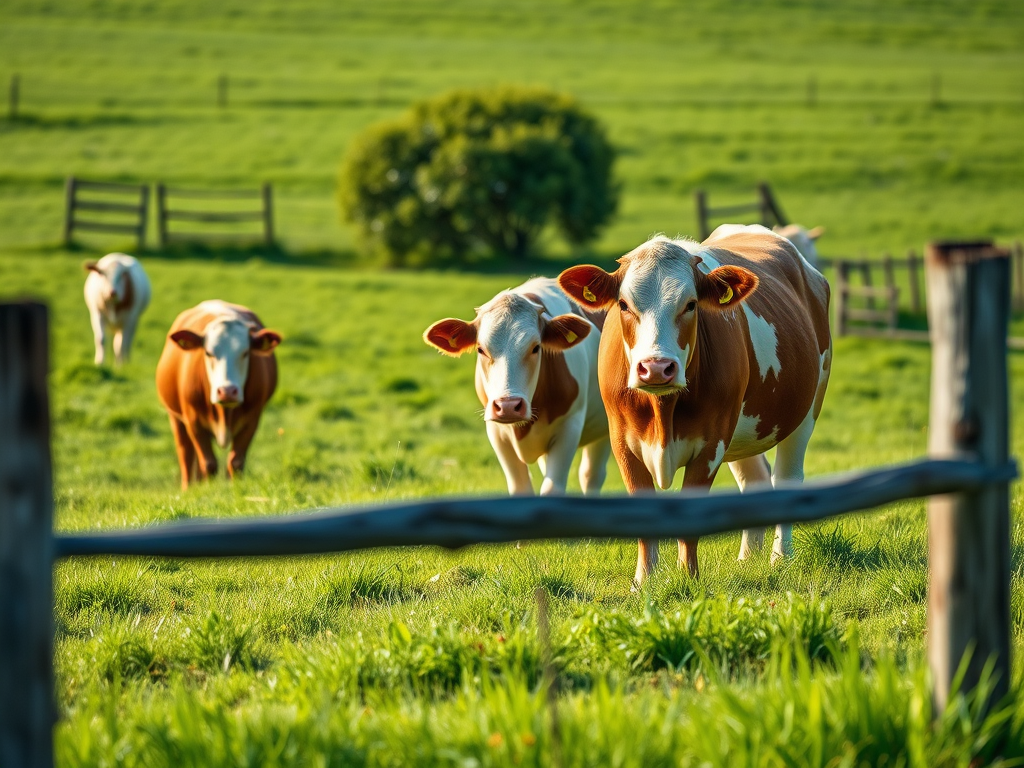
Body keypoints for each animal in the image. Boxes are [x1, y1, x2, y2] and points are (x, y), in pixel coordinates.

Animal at [156, 300, 282, 490]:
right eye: (209, 353)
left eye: (245, 352)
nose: (227, 391)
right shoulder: (193, 421)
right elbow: (208, 463)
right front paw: (208, 489)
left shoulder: (252, 419)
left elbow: (235, 462)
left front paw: (233, 488)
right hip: (176, 418)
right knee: (186, 453)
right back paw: (187, 488)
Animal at [423, 277, 611, 497]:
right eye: (481, 349)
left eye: (536, 347)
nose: (508, 406)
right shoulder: (497, 433)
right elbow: (521, 488)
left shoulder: (570, 427)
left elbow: (552, 488)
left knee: (591, 474)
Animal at [558, 225, 831, 586]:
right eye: (623, 304)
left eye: (690, 304)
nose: (656, 367)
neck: (662, 411)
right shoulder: (622, 441)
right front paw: (643, 582)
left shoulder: (711, 442)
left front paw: (689, 579)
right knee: (755, 480)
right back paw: (748, 558)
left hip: (806, 411)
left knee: (787, 478)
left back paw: (780, 557)